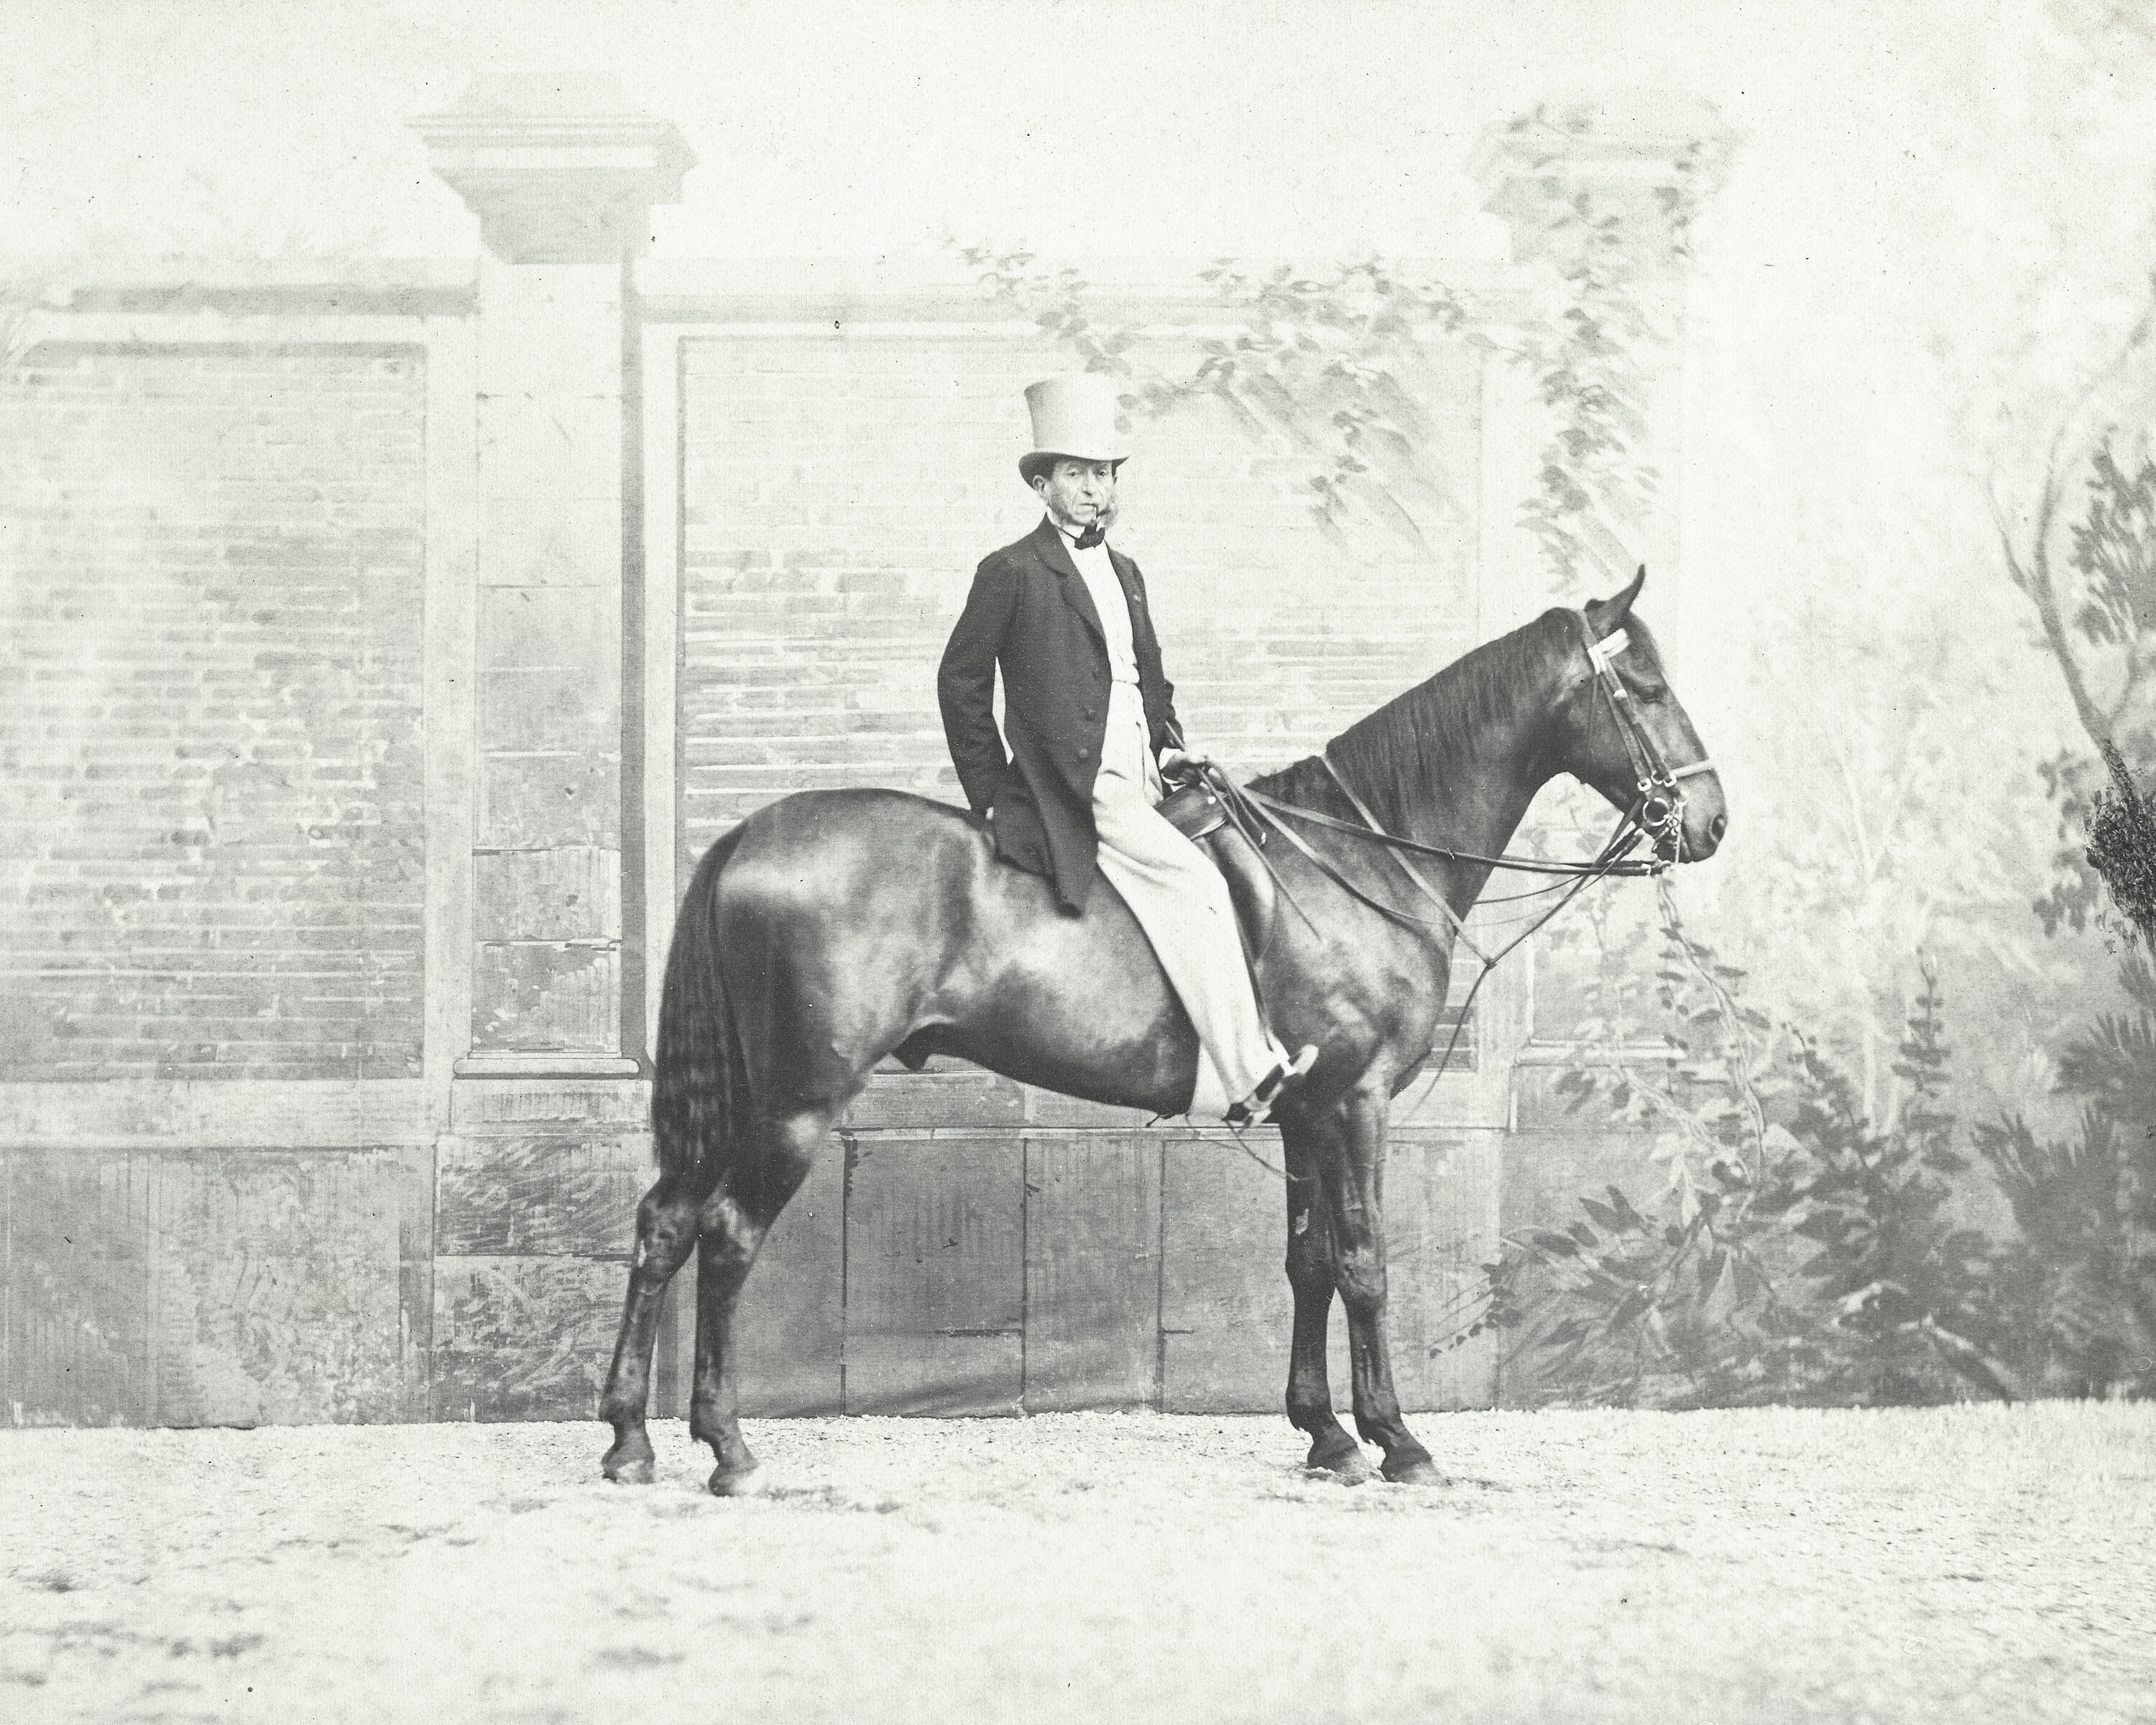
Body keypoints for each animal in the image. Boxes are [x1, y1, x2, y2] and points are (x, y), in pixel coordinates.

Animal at [599, 568, 1727, 1493]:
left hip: (745, 1103)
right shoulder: (1357, 1103)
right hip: (796, 1104)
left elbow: (1309, 1262)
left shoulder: (1307, 1111)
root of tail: (751, 834)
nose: (1711, 822)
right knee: (726, 1236)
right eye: (1648, 689)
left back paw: (628, 1439)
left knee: (664, 1224)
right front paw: (1398, 1440)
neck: (1355, 857)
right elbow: (1364, 1262)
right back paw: (728, 1447)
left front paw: (1326, 1435)